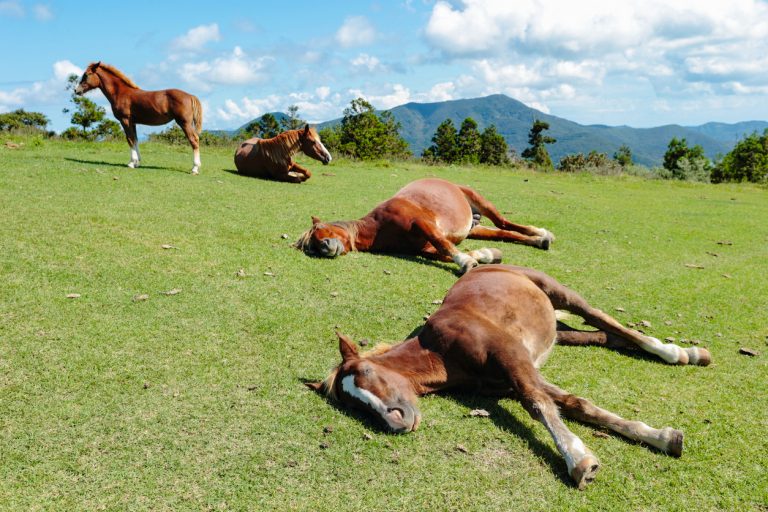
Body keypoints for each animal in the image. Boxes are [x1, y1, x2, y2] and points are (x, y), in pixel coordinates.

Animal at [75, 61, 203, 174]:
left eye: (86, 75)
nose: (76, 90)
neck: (120, 93)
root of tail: (190, 96)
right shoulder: (133, 122)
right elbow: (135, 140)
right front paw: (137, 162)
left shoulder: (125, 120)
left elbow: (130, 139)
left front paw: (131, 163)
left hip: (184, 123)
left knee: (194, 140)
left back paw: (194, 169)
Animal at [295, 178, 554, 273]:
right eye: (311, 247)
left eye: (319, 231)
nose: (324, 247)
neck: (379, 227)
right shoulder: (423, 248)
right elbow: (443, 252)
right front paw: (486, 255)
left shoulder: (423, 224)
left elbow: (444, 245)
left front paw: (466, 262)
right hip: (475, 229)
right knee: (504, 232)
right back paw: (538, 240)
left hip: (480, 200)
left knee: (504, 222)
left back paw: (541, 233)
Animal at [307, 264, 711, 489]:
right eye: (354, 406)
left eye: (367, 371)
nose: (396, 421)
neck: (442, 351)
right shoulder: (510, 378)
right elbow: (573, 403)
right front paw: (662, 437)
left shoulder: (512, 358)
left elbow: (539, 404)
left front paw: (580, 462)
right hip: (556, 331)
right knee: (602, 335)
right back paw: (687, 354)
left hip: (560, 294)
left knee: (606, 321)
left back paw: (678, 353)